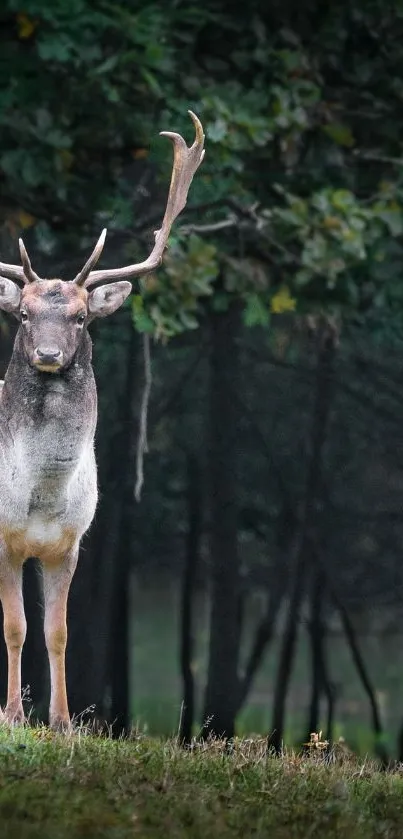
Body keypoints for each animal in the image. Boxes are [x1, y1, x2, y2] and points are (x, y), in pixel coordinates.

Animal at [0, 110, 204, 728]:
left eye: (81, 317)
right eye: (23, 314)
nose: (47, 354)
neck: (40, 495)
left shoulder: (69, 544)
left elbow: (57, 631)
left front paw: (63, 720)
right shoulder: (4, 538)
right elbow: (15, 627)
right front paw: (13, 715)